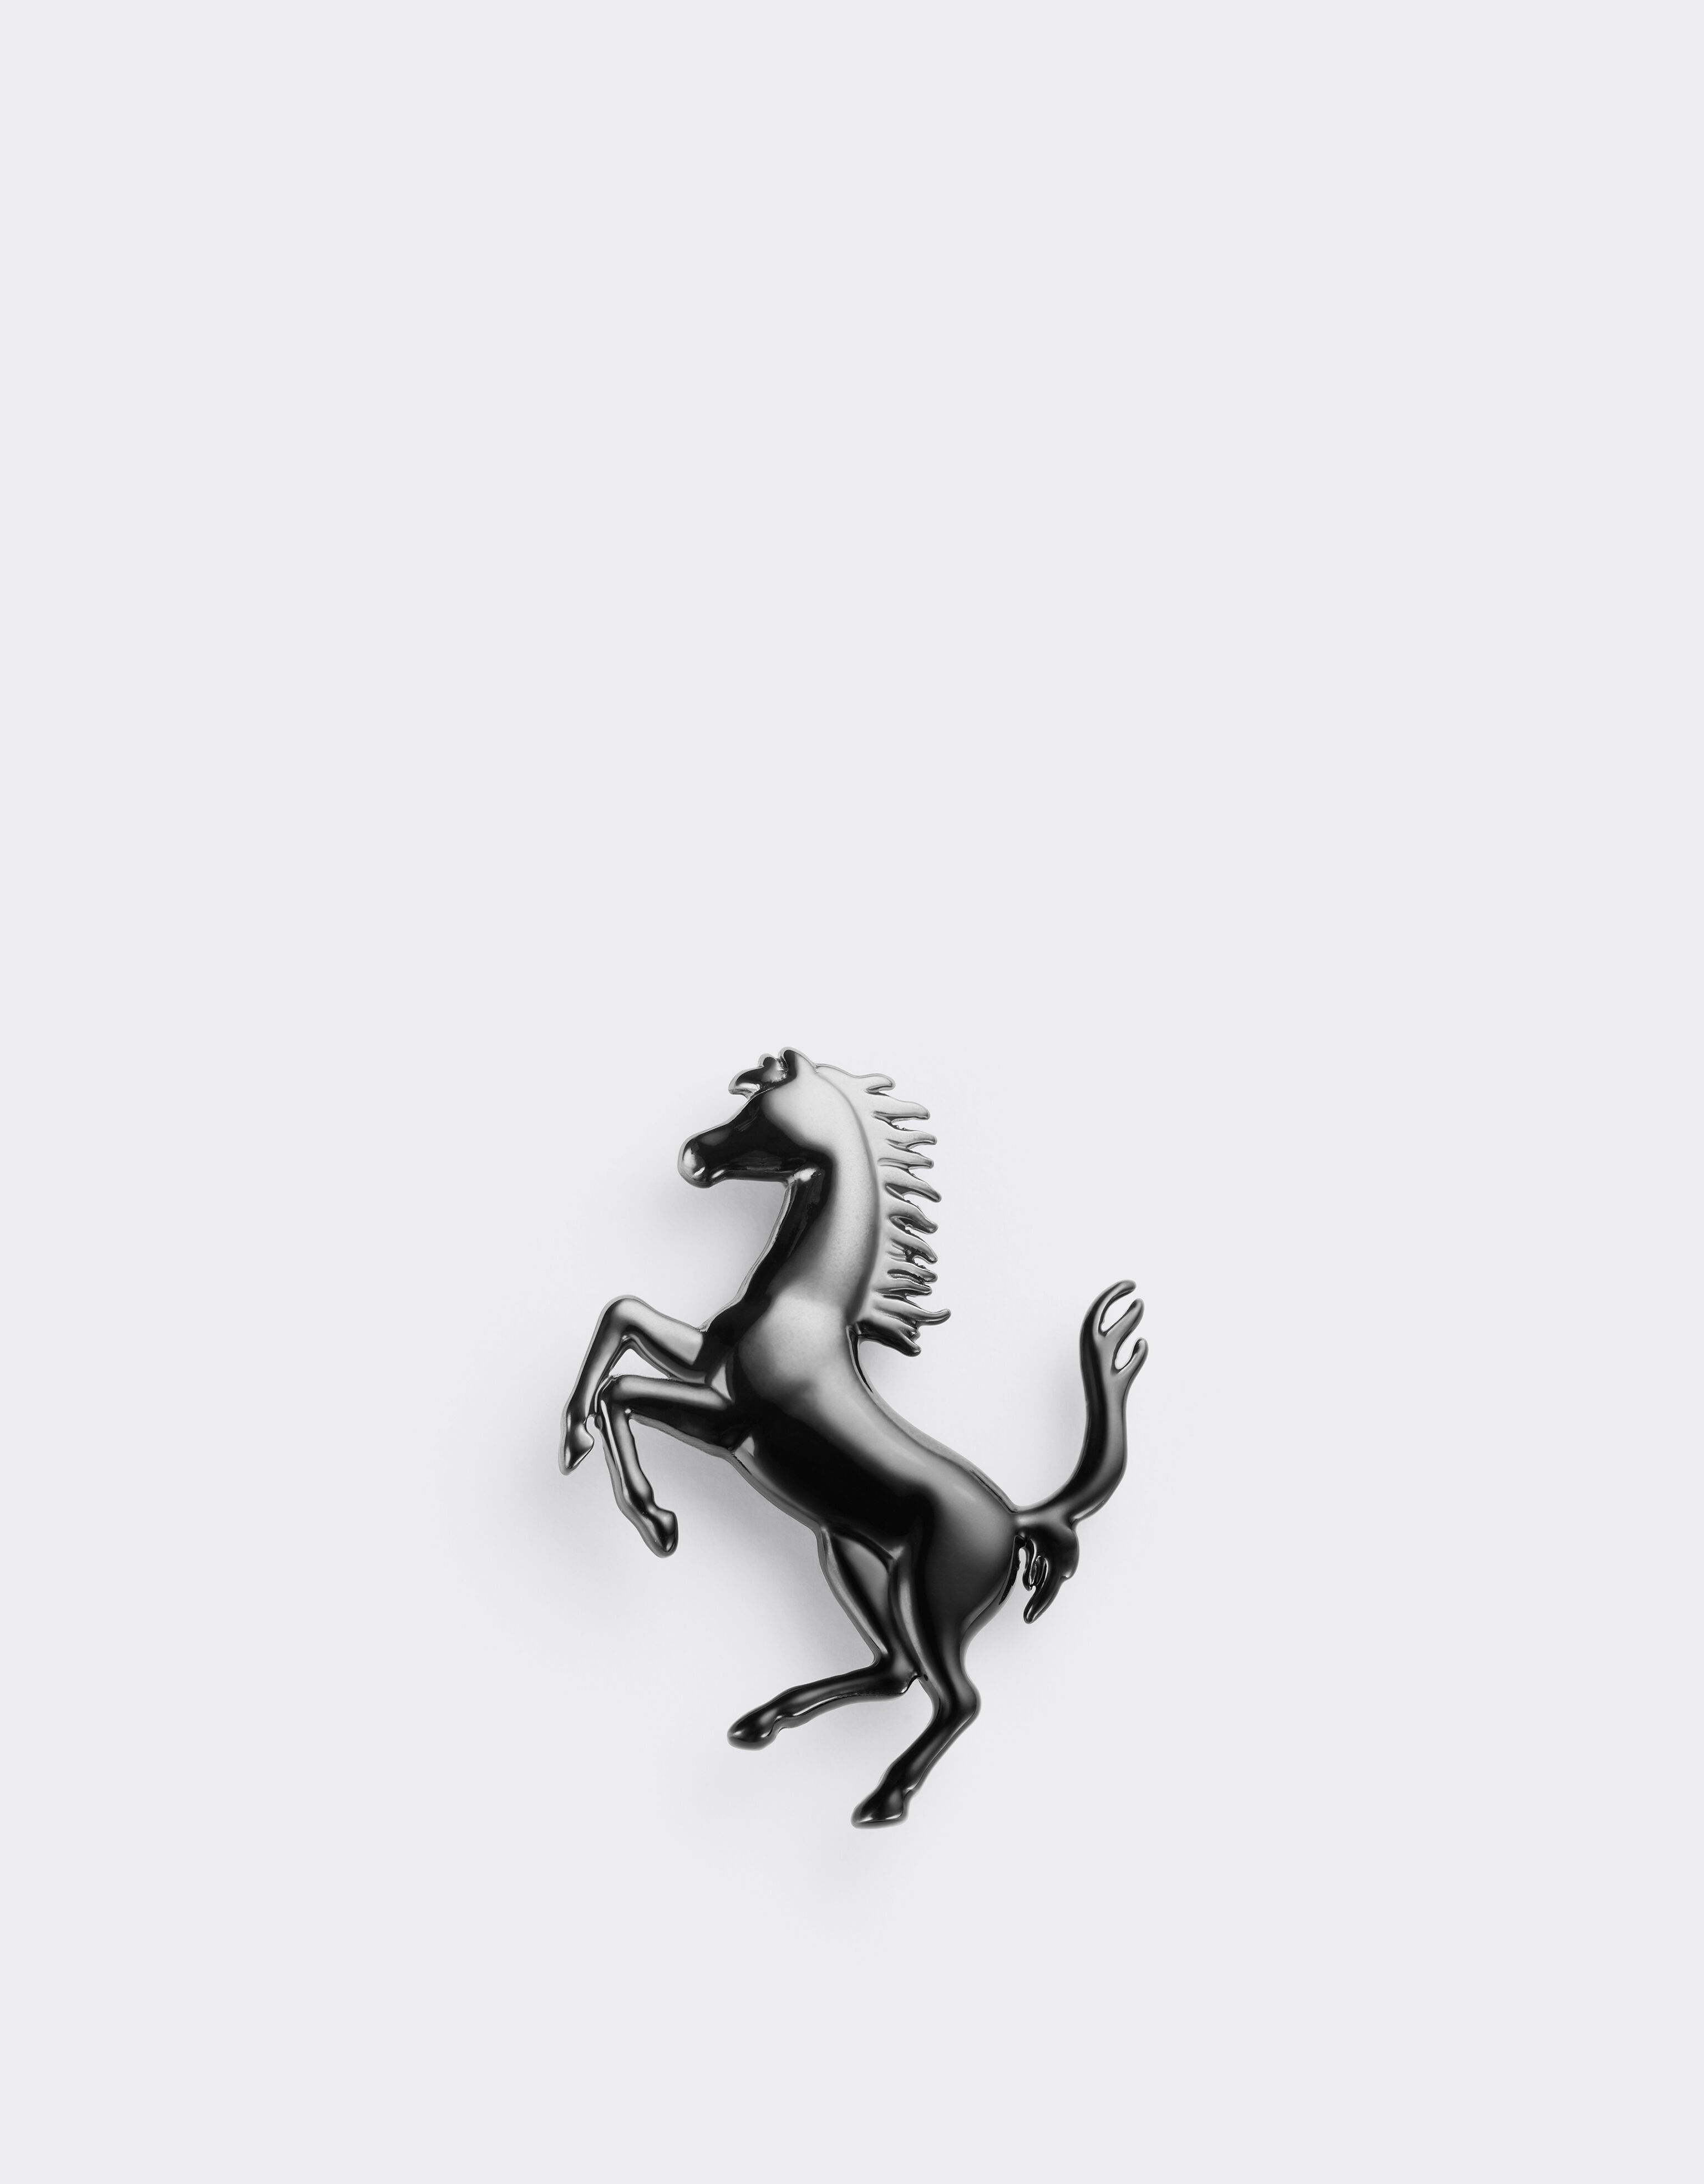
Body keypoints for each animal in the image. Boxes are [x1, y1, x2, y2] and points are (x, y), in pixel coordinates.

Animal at [560, 1048, 1147, 1827]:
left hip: (934, 1597)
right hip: (850, 1552)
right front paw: (571, 1442)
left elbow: (621, 1390)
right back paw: (763, 1721)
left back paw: (882, 1798)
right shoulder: (704, 1362)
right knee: (897, 1670)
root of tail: (1019, 1519)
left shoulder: (731, 1423)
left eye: (767, 1112)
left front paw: (658, 1523)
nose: (693, 1157)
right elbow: (621, 1313)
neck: (807, 1303)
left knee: (956, 1696)